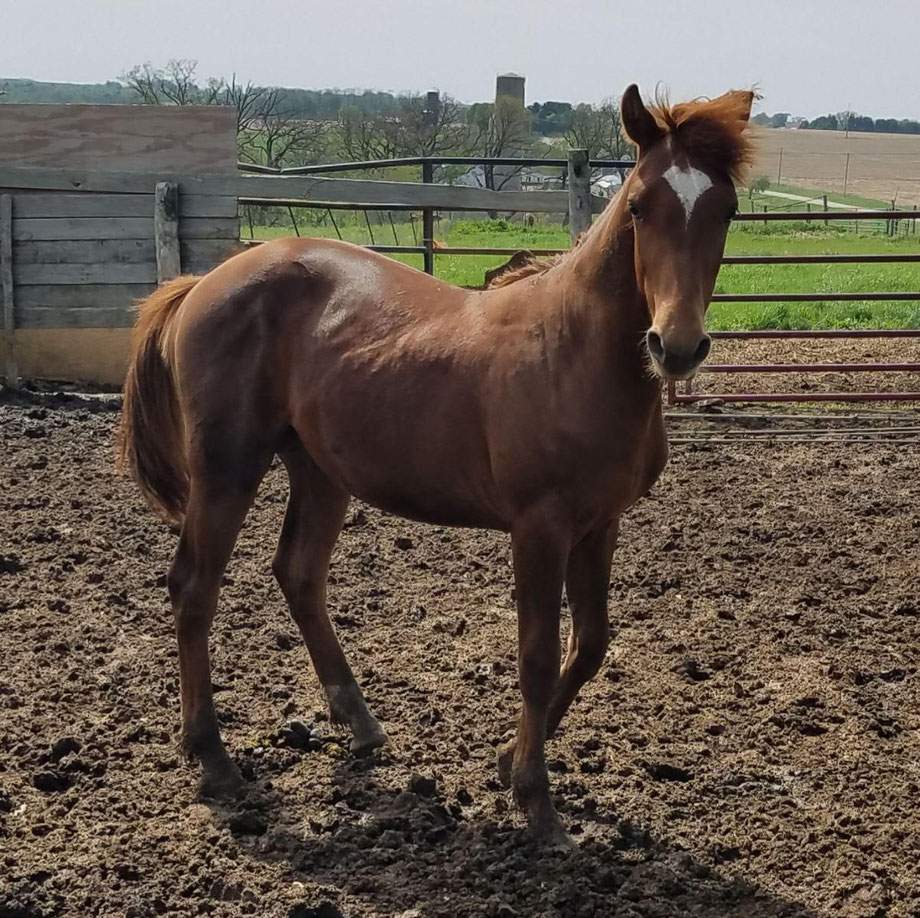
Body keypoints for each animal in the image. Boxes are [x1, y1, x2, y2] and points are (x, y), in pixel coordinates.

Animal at [118, 84, 755, 846]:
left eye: (727, 209)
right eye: (637, 205)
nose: (677, 345)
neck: (574, 350)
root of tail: (203, 282)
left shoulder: (600, 524)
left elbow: (591, 644)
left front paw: (508, 757)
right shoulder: (539, 528)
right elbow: (538, 656)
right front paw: (535, 800)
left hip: (320, 470)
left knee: (298, 575)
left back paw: (360, 724)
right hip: (227, 467)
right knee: (194, 587)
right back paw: (212, 757)